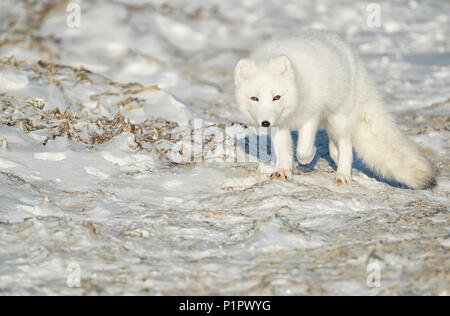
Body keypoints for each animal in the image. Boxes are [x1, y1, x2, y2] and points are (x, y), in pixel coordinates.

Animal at [236, 30, 436, 188]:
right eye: (254, 98)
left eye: (276, 97)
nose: (265, 123)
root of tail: (355, 61)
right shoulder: (281, 124)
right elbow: (284, 151)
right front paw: (284, 171)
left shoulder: (312, 114)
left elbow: (303, 149)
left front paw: (308, 156)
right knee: (335, 143)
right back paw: (335, 154)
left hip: (340, 117)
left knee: (347, 144)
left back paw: (343, 174)